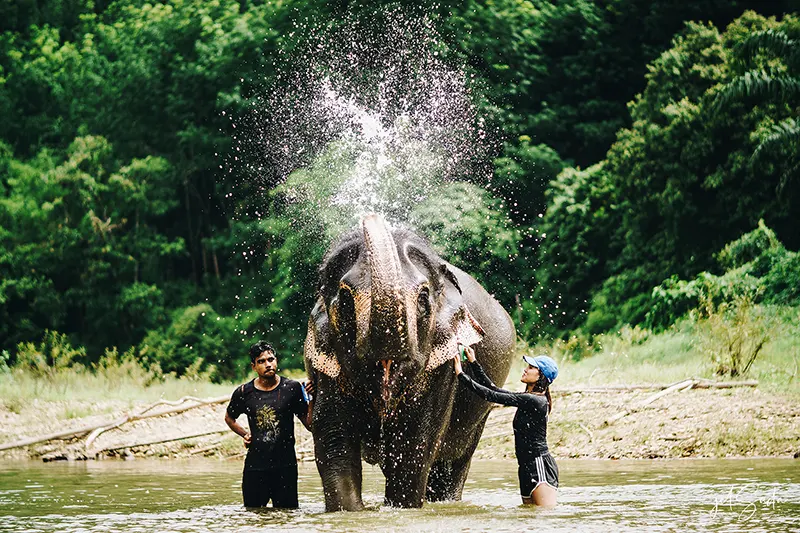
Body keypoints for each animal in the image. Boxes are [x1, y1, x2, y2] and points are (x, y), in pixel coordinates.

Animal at [304, 213, 515, 511]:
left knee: (454, 463)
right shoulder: (327, 362)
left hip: (480, 415)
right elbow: (335, 443)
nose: (370, 215)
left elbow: (412, 450)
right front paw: (350, 512)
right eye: (345, 299)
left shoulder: (442, 367)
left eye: (423, 298)